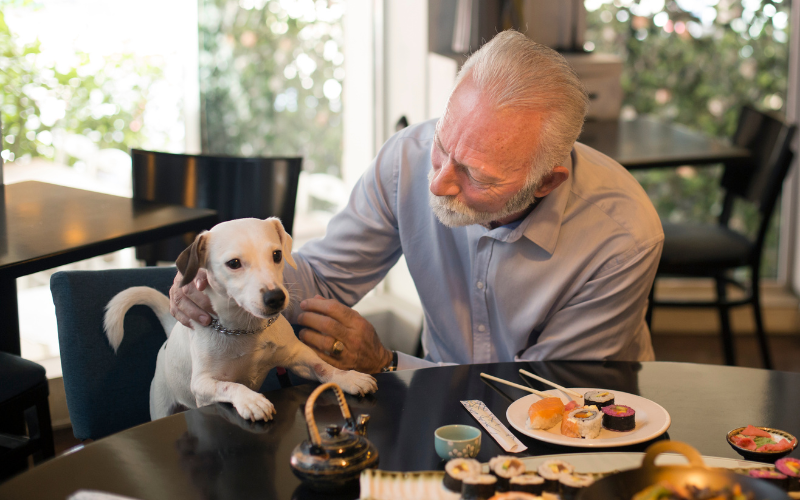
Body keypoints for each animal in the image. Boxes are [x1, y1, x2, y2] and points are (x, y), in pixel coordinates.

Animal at [103, 219, 378, 422]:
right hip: (162, 404)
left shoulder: (296, 357)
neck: (245, 330)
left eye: (277, 255)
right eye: (234, 263)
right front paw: (250, 400)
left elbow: (323, 367)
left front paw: (348, 377)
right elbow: (230, 386)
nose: (276, 298)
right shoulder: (203, 385)